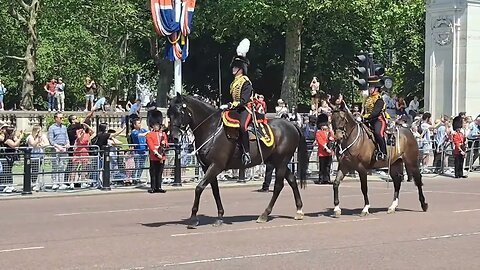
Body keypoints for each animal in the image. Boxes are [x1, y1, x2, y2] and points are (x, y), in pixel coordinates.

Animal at [167, 95, 308, 228]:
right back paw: (299, 210)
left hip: (282, 161)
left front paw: (193, 219)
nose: (173, 137)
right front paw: (220, 216)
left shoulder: (216, 166)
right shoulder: (208, 167)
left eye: (180, 112)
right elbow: (215, 191)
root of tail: (292, 125)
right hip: (277, 162)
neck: (211, 128)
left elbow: (199, 188)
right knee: (292, 180)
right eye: (169, 113)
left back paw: (264, 214)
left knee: (279, 186)